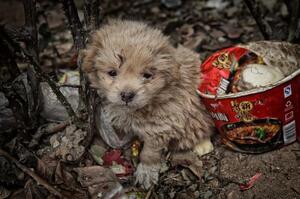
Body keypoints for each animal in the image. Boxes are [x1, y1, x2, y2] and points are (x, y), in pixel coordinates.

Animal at [81, 20, 214, 190]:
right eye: (112, 72)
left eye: (147, 75)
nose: (127, 95)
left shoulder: (160, 127)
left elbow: (149, 153)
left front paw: (146, 172)